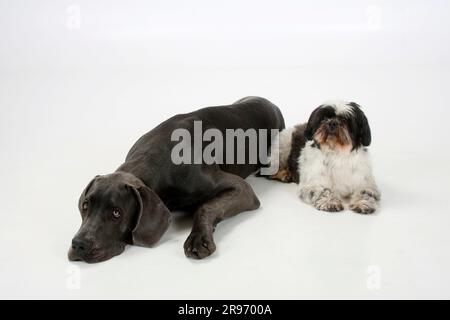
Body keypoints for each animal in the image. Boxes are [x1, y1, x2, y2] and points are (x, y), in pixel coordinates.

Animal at [68, 97, 284, 262]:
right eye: (85, 206)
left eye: (116, 213)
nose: (79, 245)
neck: (154, 159)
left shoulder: (242, 188)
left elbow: (206, 206)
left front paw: (199, 238)